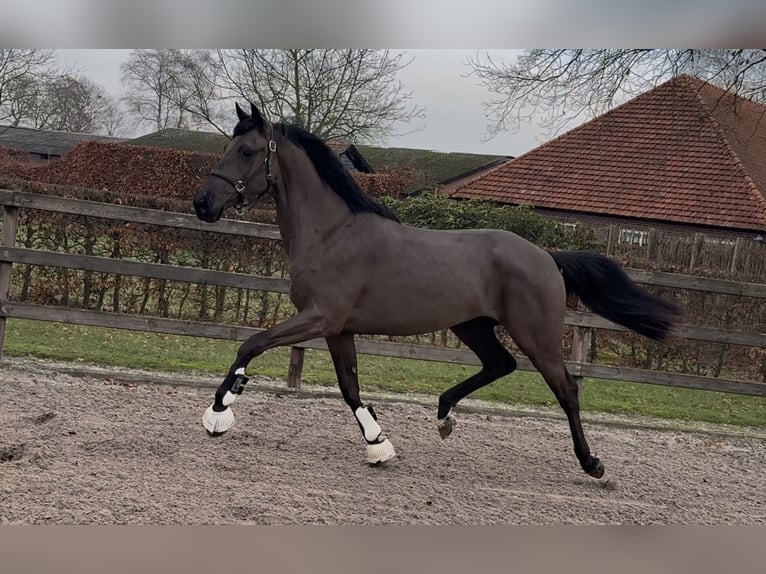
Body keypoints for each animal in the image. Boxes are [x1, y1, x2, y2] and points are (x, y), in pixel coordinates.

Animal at [192, 102, 680, 478]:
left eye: (248, 150)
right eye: (225, 147)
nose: (202, 204)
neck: (331, 233)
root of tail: (547, 256)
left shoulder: (320, 317)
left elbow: (252, 344)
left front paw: (220, 410)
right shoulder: (338, 329)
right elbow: (349, 388)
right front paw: (379, 445)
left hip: (535, 335)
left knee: (566, 391)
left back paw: (592, 464)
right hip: (472, 325)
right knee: (500, 364)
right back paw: (444, 415)